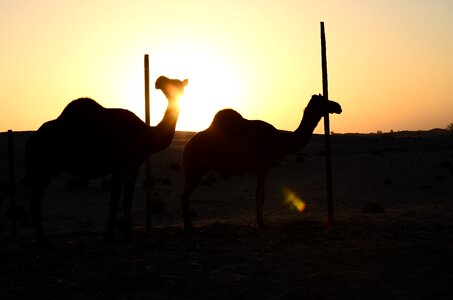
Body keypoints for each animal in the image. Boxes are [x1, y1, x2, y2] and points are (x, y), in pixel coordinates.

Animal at [25, 76, 187, 243]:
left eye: (175, 83)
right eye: (170, 82)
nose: (159, 80)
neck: (147, 136)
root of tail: (31, 141)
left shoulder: (125, 168)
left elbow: (119, 201)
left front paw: (117, 235)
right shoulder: (127, 165)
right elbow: (120, 201)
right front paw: (119, 235)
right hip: (43, 168)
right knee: (35, 203)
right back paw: (43, 239)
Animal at [180, 95, 340, 231]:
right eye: (324, 101)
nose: (338, 106)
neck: (279, 141)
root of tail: (187, 146)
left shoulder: (260, 167)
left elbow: (258, 195)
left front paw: (260, 223)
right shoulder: (264, 165)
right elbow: (260, 196)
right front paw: (261, 224)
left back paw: (189, 225)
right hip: (194, 167)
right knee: (185, 195)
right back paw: (188, 226)